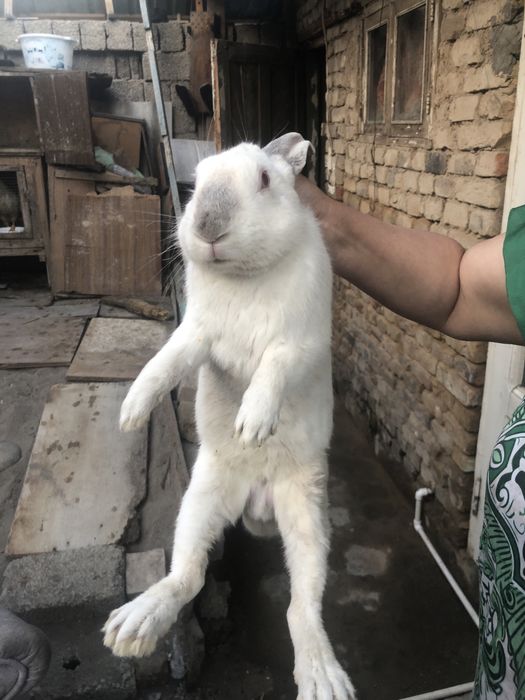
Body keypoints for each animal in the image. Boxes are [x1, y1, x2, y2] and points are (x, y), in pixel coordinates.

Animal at [102, 133, 356, 700]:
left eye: (263, 179)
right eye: (196, 184)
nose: (206, 227)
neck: (246, 274)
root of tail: (256, 497)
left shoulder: (302, 343)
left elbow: (274, 366)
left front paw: (253, 423)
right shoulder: (197, 336)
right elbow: (164, 363)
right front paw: (131, 414)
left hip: (307, 511)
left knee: (302, 606)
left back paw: (322, 676)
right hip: (202, 496)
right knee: (188, 576)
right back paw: (134, 627)